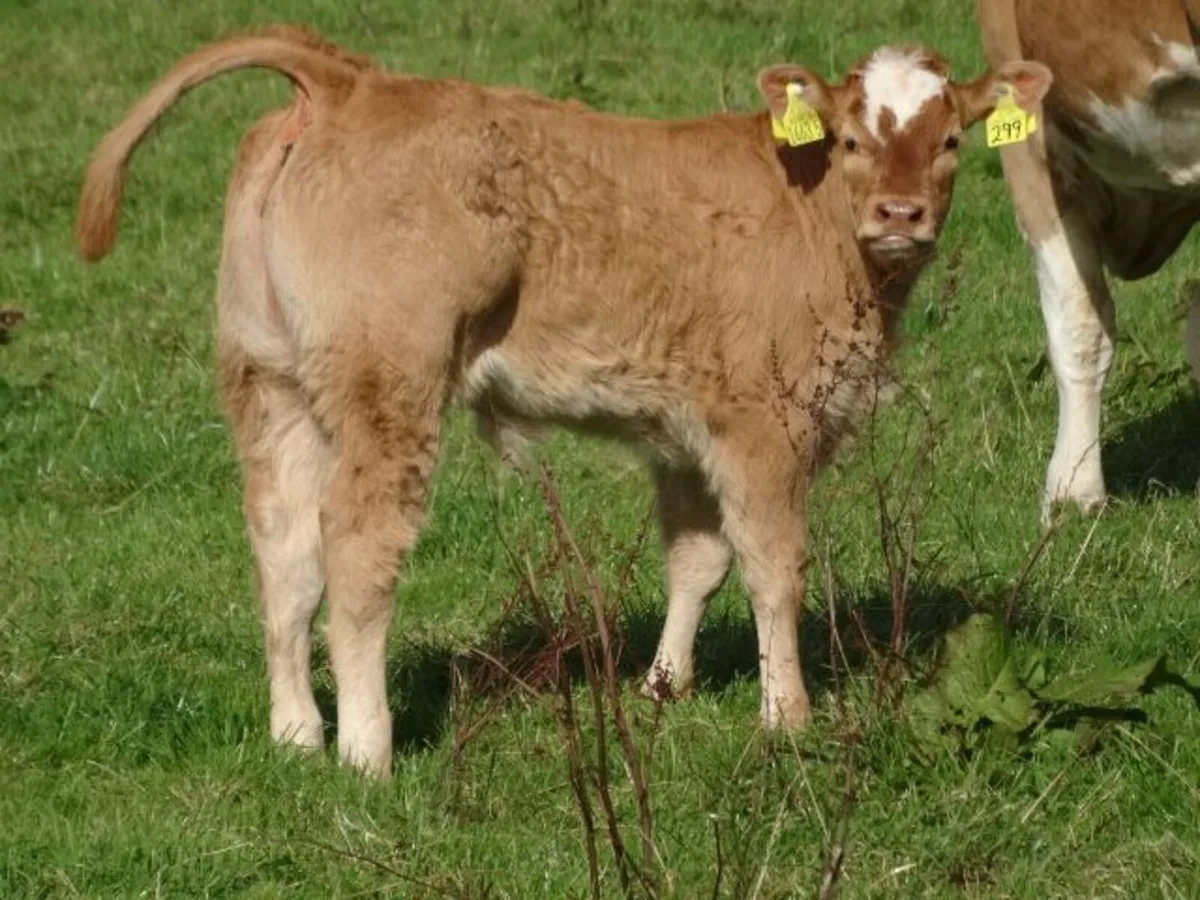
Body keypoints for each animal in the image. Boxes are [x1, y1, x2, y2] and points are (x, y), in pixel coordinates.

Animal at [76, 26, 1050, 776]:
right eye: (850, 139)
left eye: (952, 142)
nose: (901, 214)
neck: (813, 211)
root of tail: (353, 82)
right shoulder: (764, 422)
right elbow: (774, 566)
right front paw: (788, 717)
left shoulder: (683, 426)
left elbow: (697, 560)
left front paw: (664, 686)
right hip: (389, 387)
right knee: (354, 547)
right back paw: (366, 749)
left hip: (269, 382)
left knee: (281, 549)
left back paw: (296, 734)